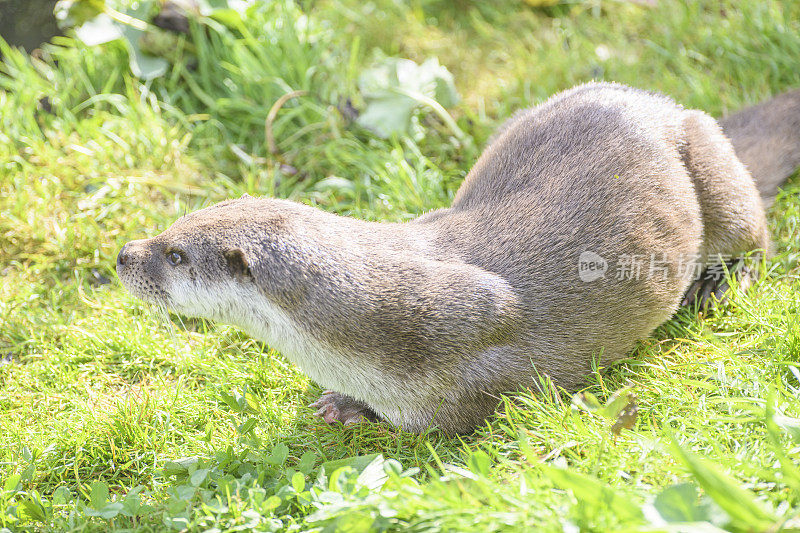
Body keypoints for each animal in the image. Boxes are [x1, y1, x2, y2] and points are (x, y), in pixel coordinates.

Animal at [115, 82, 796, 432]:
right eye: (169, 229)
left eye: (174, 255)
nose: (124, 254)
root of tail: (659, 102)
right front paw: (344, 403)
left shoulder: (479, 361)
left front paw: (361, 413)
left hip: (705, 153)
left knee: (753, 230)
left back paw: (721, 282)